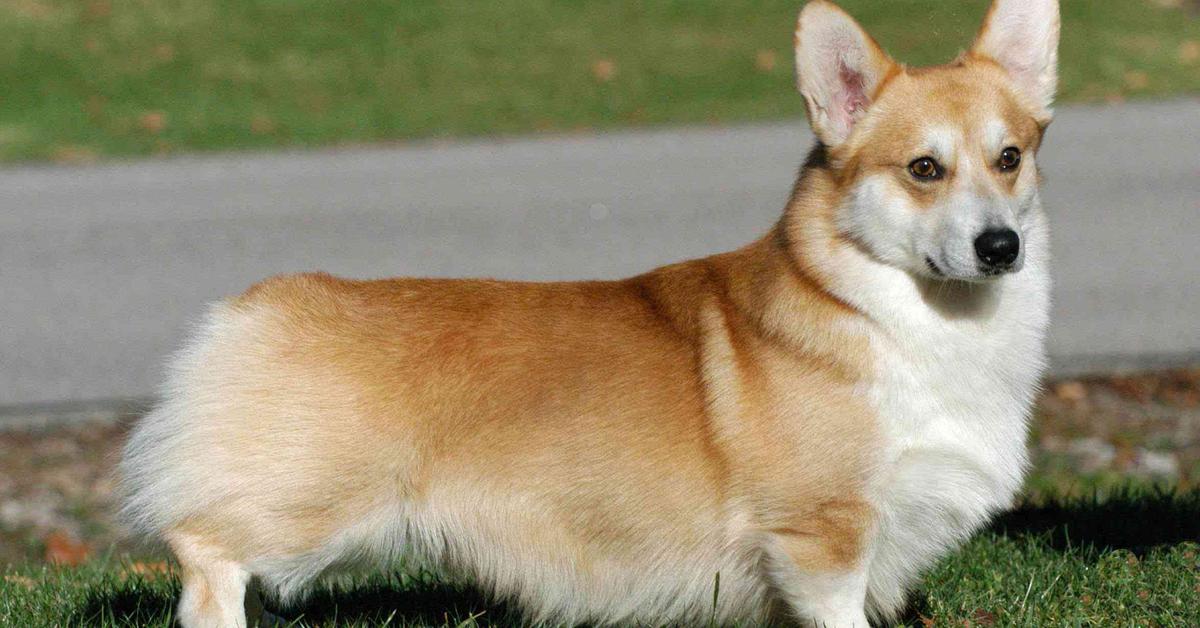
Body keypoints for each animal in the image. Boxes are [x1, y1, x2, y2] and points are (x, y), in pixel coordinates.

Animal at [119, 2, 1060, 624]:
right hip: (307, 507)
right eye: (924, 169)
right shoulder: (821, 536)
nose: (1001, 246)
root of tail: (253, 306)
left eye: (1010, 158)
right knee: (204, 551)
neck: (915, 320)